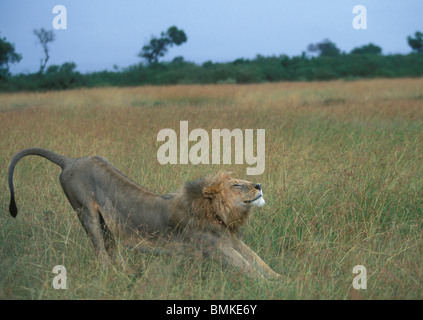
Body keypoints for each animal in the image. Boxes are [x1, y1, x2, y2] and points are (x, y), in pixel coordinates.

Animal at [7, 149, 282, 278]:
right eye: (237, 185)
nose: (259, 185)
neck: (219, 215)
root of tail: (70, 160)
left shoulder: (231, 239)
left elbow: (258, 261)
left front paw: (280, 277)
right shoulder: (213, 246)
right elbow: (245, 266)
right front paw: (268, 286)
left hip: (107, 222)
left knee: (111, 247)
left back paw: (127, 273)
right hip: (85, 212)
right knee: (100, 251)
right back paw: (111, 276)